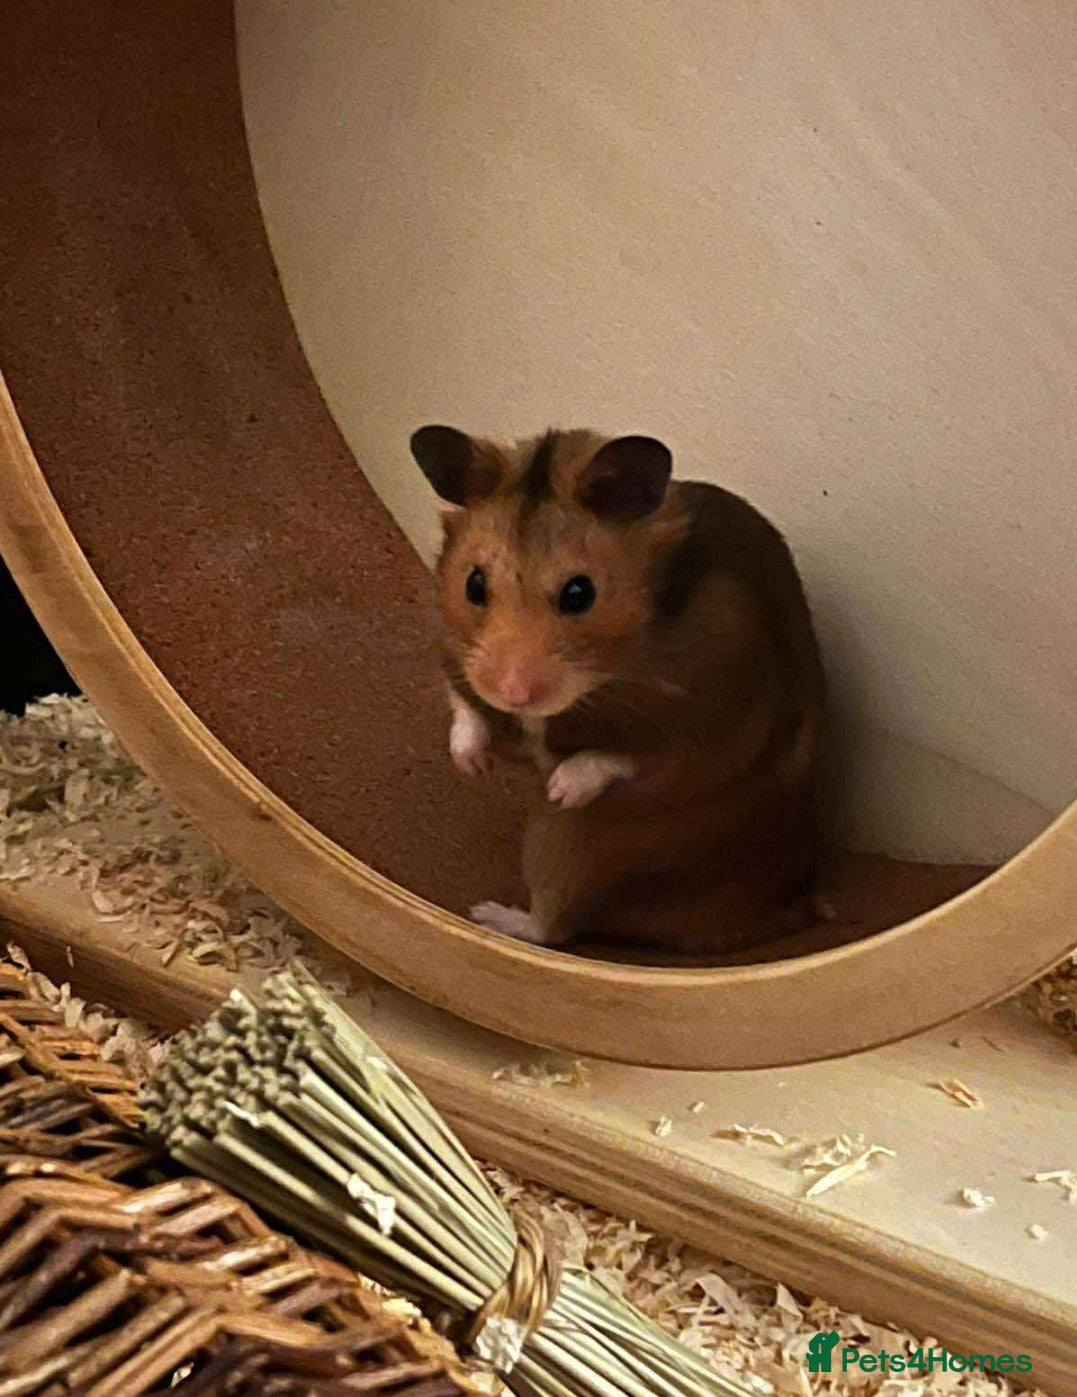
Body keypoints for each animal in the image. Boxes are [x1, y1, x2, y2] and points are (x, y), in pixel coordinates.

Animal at [410, 424, 825, 955]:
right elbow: (464, 708)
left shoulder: (714, 725)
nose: (514, 693)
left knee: (555, 927)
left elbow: (624, 756)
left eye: (579, 593)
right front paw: (471, 765)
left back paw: (486, 914)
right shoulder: (458, 660)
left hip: (569, 846)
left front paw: (560, 785)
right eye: (474, 584)